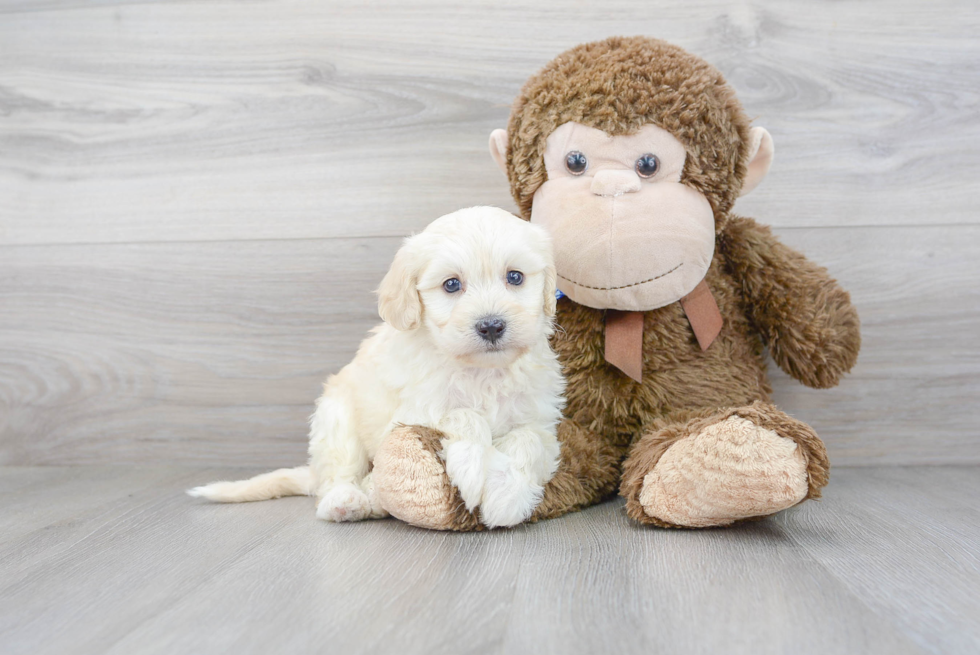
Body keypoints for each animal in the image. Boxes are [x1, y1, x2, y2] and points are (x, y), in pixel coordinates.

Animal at [187, 208, 564, 532]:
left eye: (514, 277)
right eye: (451, 285)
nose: (490, 326)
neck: (482, 372)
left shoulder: (541, 418)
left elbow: (530, 441)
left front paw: (507, 497)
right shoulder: (412, 411)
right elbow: (463, 415)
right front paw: (473, 471)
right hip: (335, 419)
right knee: (336, 477)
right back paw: (347, 500)